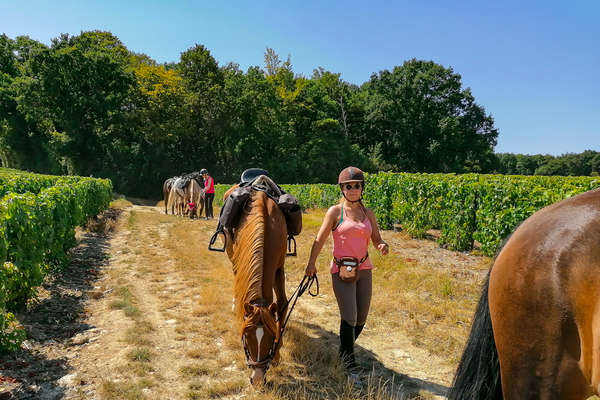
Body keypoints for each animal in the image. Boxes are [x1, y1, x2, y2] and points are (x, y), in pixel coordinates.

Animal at [223, 186, 288, 386]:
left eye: (271, 337)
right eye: (246, 337)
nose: (258, 379)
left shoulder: (279, 267)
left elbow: (282, 304)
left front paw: (278, 352)